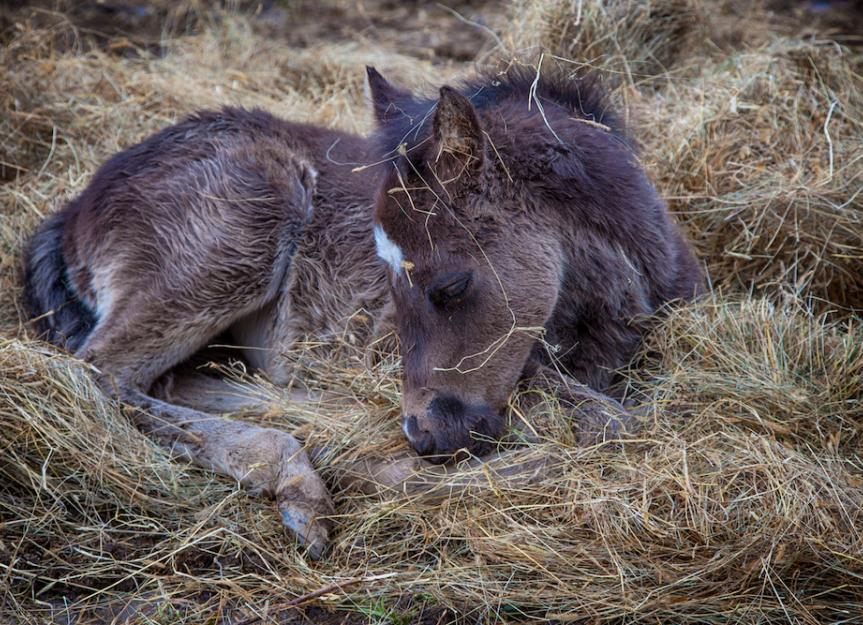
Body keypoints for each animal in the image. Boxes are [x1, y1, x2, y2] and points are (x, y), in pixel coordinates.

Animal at [23, 66, 704, 560]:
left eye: (451, 284)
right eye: (387, 279)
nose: (424, 435)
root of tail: (75, 209)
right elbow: (611, 427)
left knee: (170, 379)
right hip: (235, 238)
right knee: (99, 373)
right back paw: (304, 478)